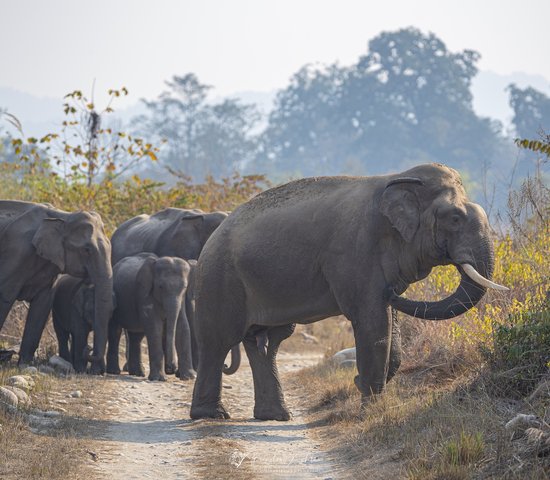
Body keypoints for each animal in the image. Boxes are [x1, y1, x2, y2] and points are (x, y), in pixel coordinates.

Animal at [0, 201, 113, 374]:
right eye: (86, 250)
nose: (89, 348)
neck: (62, 217)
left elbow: (42, 305)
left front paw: (24, 365)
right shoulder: (15, 253)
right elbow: (5, 296)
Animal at [192, 162, 512, 420]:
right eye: (455, 219)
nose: (393, 291)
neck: (399, 178)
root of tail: (213, 237)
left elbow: (389, 326)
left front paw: (364, 386)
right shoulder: (356, 250)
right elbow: (372, 320)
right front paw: (369, 411)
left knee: (266, 342)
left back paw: (275, 416)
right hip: (220, 278)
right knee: (219, 340)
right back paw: (212, 415)